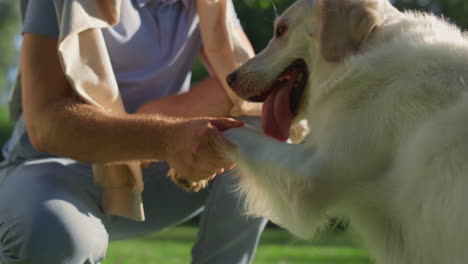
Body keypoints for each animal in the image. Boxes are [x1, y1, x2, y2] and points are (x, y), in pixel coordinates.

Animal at [222, 0, 468, 264]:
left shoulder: (313, 169)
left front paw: (212, 128)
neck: (358, 55)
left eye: (281, 31)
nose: (229, 78)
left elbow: (243, 135)